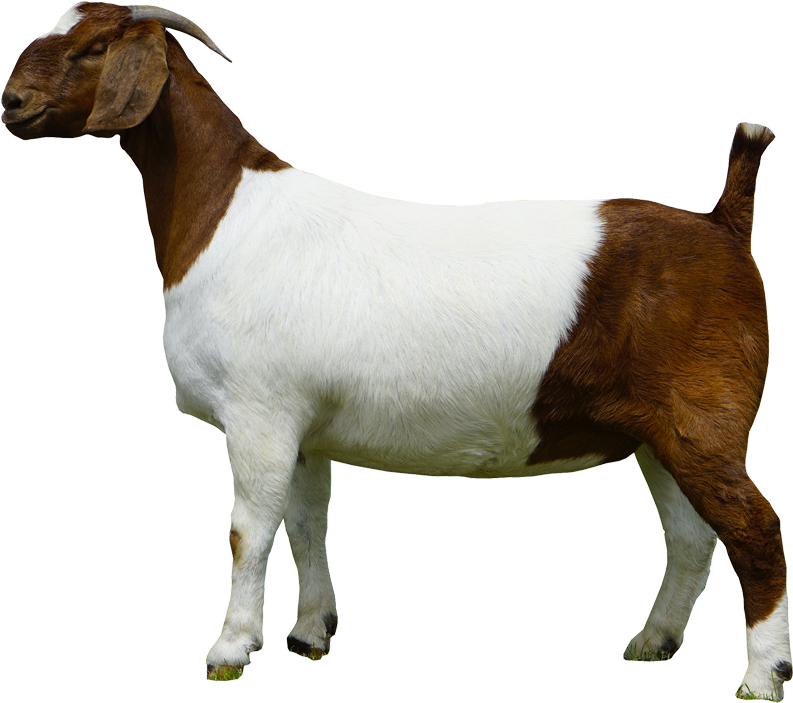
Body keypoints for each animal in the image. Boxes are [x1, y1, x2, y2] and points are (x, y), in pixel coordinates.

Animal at [3, 3, 789, 698]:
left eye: (92, 49)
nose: (12, 102)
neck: (224, 218)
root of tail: (722, 224)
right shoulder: (304, 426)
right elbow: (305, 522)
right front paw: (308, 634)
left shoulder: (259, 412)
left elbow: (247, 530)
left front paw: (229, 650)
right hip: (657, 434)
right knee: (690, 535)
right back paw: (652, 641)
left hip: (704, 418)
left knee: (753, 528)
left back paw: (762, 678)